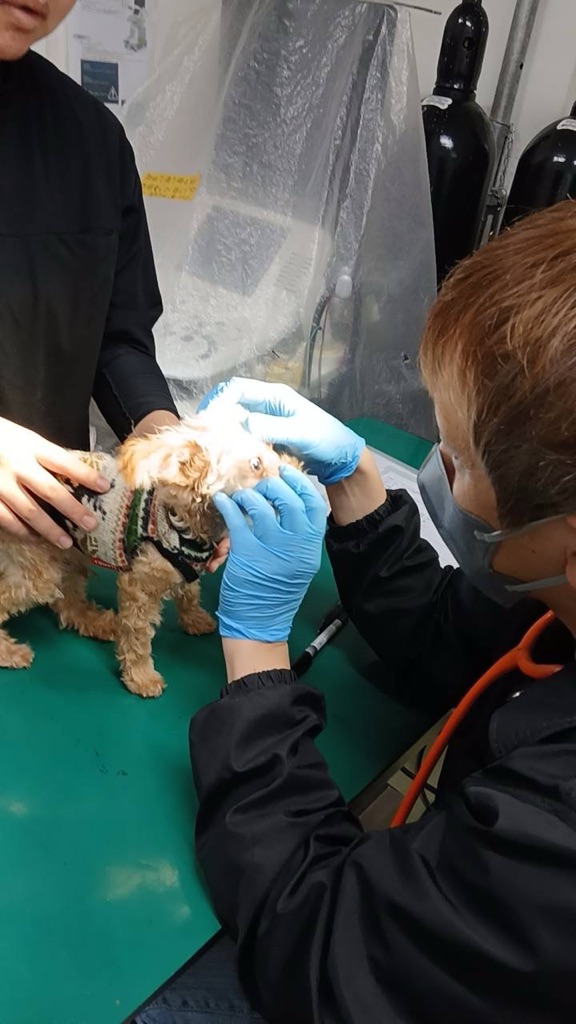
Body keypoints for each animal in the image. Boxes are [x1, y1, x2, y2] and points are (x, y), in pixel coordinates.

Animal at [0, 413, 284, 698]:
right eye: (256, 464)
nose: (290, 470)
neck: (186, 526)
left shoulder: (185, 566)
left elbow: (190, 593)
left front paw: (194, 618)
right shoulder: (139, 587)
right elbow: (136, 637)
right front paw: (141, 676)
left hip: (68, 548)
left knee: (67, 604)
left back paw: (98, 622)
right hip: (36, 567)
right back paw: (9, 652)